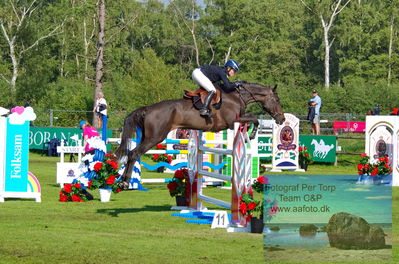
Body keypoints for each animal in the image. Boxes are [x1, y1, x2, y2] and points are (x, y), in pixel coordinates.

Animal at [115, 82, 288, 188]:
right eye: (277, 99)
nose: (282, 119)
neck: (237, 97)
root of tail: (147, 109)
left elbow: (253, 118)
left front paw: (251, 134)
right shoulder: (232, 121)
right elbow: (255, 119)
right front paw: (251, 135)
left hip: (147, 136)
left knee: (131, 153)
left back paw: (122, 181)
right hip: (155, 137)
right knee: (134, 153)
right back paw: (125, 183)